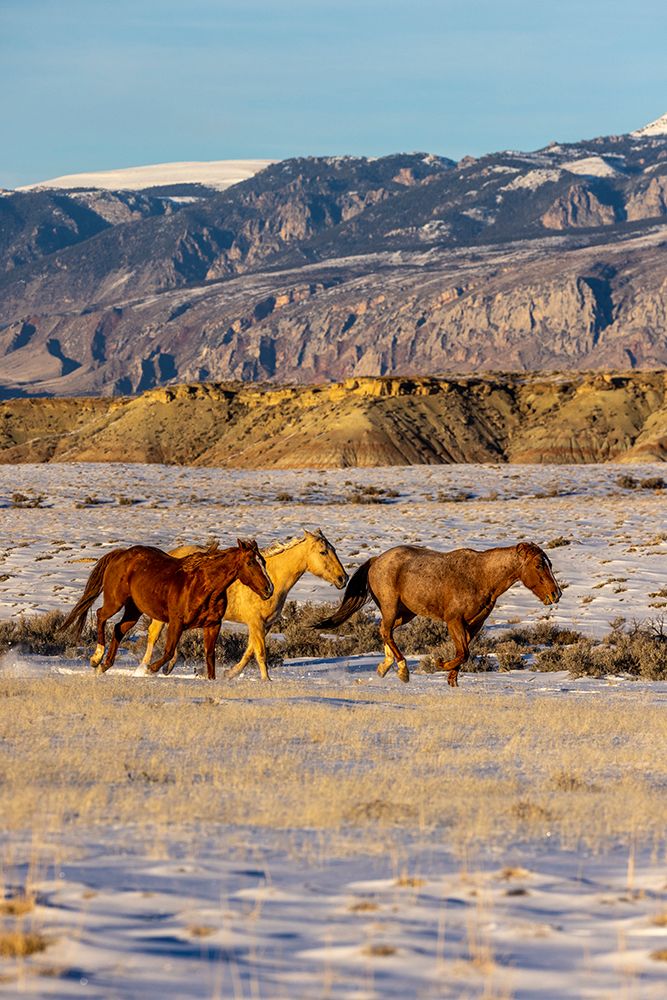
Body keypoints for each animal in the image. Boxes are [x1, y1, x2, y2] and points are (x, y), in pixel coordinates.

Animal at [61, 539, 273, 679]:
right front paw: (149, 669)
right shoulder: (176, 622)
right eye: (250, 562)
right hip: (116, 601)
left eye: (263, 561)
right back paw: (96, 658)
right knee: (101, 615)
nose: (268, 589)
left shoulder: (213, 625)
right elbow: (170, 651)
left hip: (134, 610)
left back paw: (104, 666)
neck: (204, 585)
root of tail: (121, 554)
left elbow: (209, 656)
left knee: (118, 629)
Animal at [138, 529, 348, 681]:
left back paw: (167, 667)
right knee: (153, 636)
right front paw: (266, 680)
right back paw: (144, 669)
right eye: (323, 552)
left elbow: (249, 651)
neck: (273, 578)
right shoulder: (256, 622)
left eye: (335, 550)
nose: (343, 578)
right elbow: (260, 652)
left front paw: (229, 673)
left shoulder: (265, 625)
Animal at [314, 541, 562, 686]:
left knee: (385, 631)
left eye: (548, 563)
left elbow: (464, 652)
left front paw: (452, 680)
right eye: (539, 565)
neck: (480, 577)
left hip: (406, 613)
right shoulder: (454, 621)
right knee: (385, 631)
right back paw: (402, 670)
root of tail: (377, 560)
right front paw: (441, 664)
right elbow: (463, 653)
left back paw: (384, 667)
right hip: (391, 607)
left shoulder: (474, 624)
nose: (556, 594)